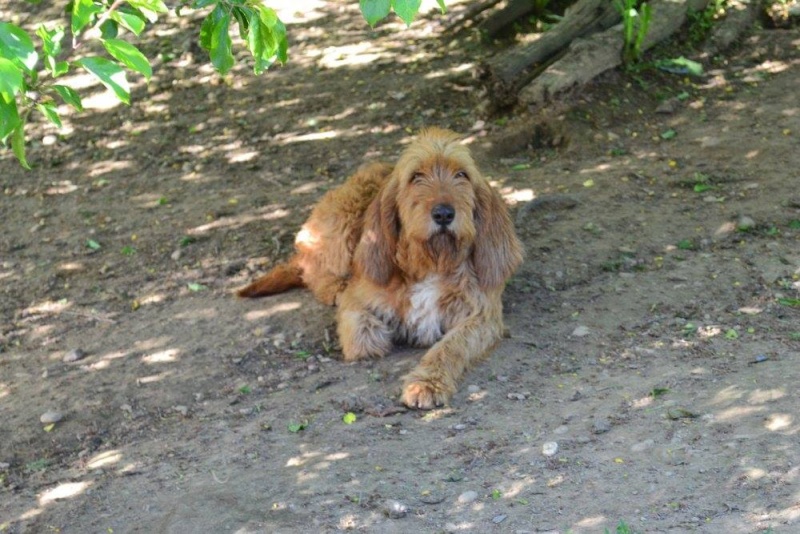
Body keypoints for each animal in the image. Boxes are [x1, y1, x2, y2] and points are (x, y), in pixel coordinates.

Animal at [239, 129, 524, 410]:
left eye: (462, 174)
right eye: (416, 176)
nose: (444, 214)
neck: (432, 262)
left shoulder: (481, 316)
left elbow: (451, 347)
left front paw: (427, 383)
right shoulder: (359, 296)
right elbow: (361, 332)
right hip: (341, 223)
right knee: (311, 268)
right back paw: (333, 286)